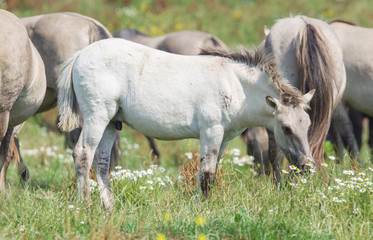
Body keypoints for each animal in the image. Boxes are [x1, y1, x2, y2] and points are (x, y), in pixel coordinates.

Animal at [57, 38, 314, 209]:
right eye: (286, 128)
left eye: (308, 125)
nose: (307, 166)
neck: (236, 86)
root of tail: (80, 55)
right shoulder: (211, 132)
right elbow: (208, 173)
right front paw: (204, 209)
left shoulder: (223, 139)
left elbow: (209, 172)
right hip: (97, 116)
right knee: (83, 154)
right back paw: (85, 206)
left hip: (111, 123)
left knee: (101, 163)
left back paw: (109, 208)